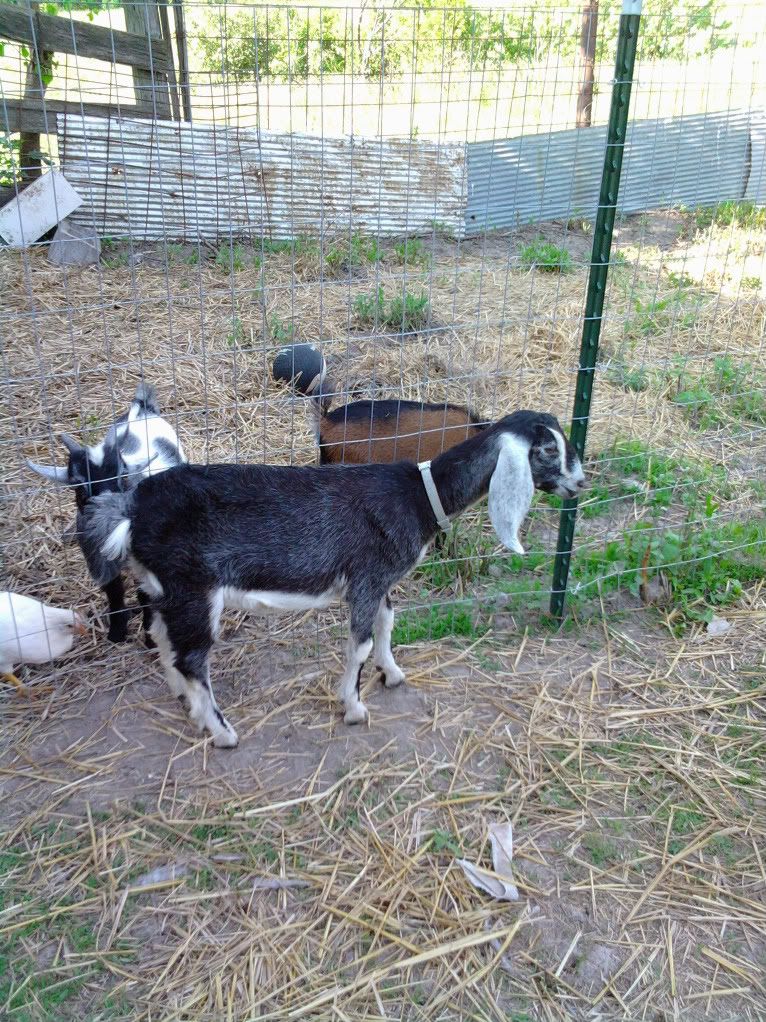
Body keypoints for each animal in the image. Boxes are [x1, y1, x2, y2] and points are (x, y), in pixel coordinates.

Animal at [26, 383, 186, 643]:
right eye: (79, 485)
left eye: (122, 476)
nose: (105, 516)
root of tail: (141, 408)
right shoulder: (99, 558)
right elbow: (114, 593)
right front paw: (117, 633)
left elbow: (145, 595)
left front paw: (150, 638)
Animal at [81, 409, 586, 748]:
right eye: (548, 450)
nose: (579, 484)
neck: (419, 497)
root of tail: (130, 510)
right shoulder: (366, 577)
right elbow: (359, 643)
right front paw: (354, 707)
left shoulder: (380, 583)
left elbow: (387, 623)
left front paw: (392, 674)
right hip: (192, 588)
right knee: (192, 659)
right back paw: (222, 732)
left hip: (161, 588)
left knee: (161, 637)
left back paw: (185, 703)